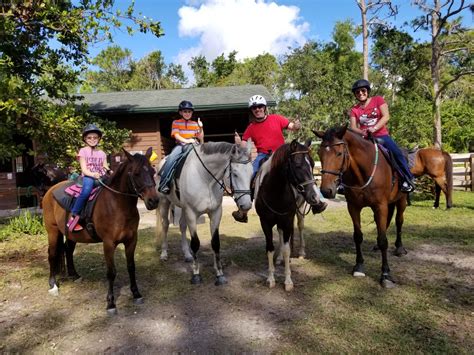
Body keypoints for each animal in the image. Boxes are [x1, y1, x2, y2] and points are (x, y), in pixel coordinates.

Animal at [42, 147, 159, 314]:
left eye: (152, 171)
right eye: (136, 173)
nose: (153, 201)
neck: (118, 205)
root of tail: (50, 191)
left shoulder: (131, 240)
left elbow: (131, 267)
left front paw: (136, 294)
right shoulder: (108, 243)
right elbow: (111, 272)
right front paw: (111, 303)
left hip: (71, 235)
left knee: (68, 250)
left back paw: (74, 275)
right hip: (52, 231)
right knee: (52, 255)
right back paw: (53, 285)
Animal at [156, 142, 254, 286]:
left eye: (252, 174)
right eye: (235, 174)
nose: (246, 206)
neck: (205, 179)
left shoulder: (215, 213)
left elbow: (216, 243)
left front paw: (219, 274)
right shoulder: (191, 213)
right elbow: (195, 243)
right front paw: (196, 275)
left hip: (183, 208)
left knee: (182, 226)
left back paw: (187, 255)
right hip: (164, 202)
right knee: (165, 225)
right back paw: (163, 254)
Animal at [314, 126, 408, 288]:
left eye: (339, 153)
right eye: (320, 153)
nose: (326, 191)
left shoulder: (380, 206)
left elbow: (383, 240)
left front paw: (385, 275)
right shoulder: (353, 207)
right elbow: (358, 236)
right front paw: (358, 267)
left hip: (401, 200)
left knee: (399, 221)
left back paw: (399, 248)